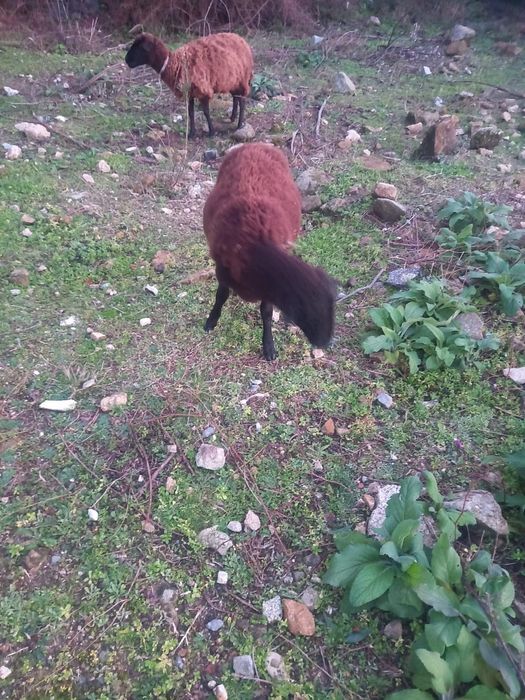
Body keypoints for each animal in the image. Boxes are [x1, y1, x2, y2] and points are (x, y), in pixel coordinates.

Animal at [125, 32, 253, 138]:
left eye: (140, 47)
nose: (126, 60)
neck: (174, 64)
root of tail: (242, 40)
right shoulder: (190, 92)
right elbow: (190, 113)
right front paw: (192, 134)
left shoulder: (203, 90)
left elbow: (206, 112)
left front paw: (211, 132)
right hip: (233, 80)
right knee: (236, 97)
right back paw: (232, 118)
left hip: (242, 78)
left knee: (242, 101)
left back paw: (239, 125)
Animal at [203, 143, 336, 360]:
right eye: (306, 305)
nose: (326, 343)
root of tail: (257, 144)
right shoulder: (221, 266)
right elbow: (221, 295)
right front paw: (211, 321)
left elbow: (265, 310)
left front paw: (269, 346)